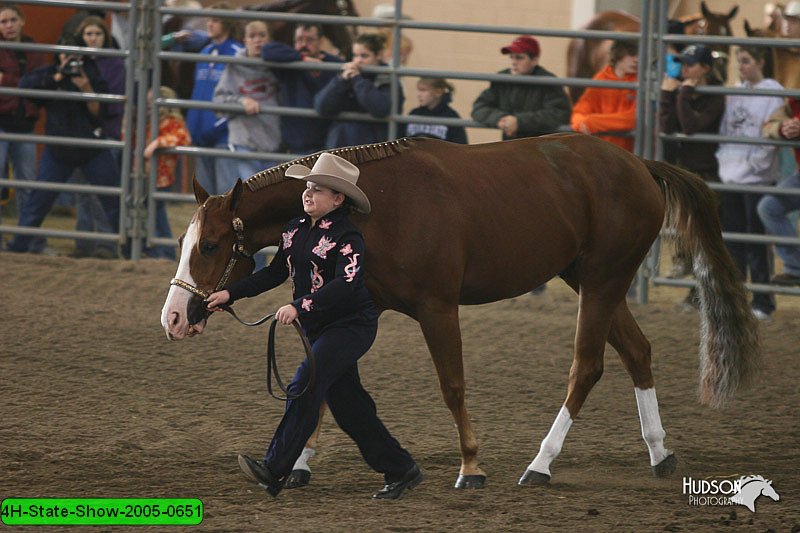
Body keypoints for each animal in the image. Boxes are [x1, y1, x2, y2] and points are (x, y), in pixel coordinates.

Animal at [159, 135, 760, 488]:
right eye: (185, 240)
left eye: (210, 245)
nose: (175, 317)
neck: (375, 205)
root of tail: (639, 164)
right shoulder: (358, 306)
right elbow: (325, 384)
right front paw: (297, 465)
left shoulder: (437, 307)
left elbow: (452, 385)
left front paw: (471, 465)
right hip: (590, 280)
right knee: (637, 351)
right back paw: (659, 454)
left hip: (604, 280)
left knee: (586, 366)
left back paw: (540, 464)